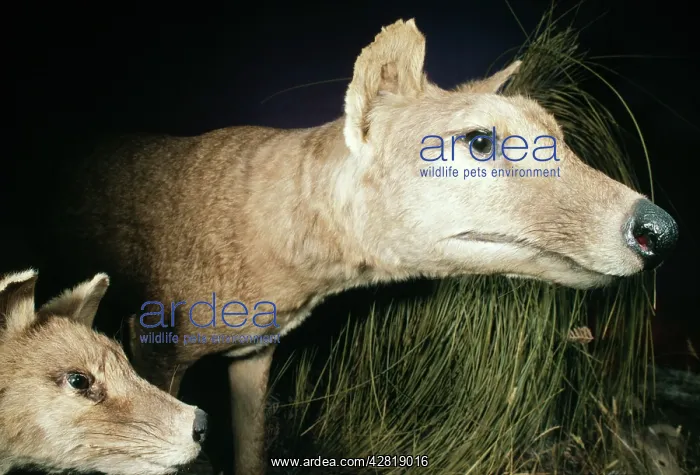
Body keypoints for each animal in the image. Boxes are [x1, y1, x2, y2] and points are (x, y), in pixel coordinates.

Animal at [47, 18, 678, 474]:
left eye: (561, 140)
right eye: (480, 140)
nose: (659, 229)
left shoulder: (255, 354)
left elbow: (252, 452)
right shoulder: (152, 345)